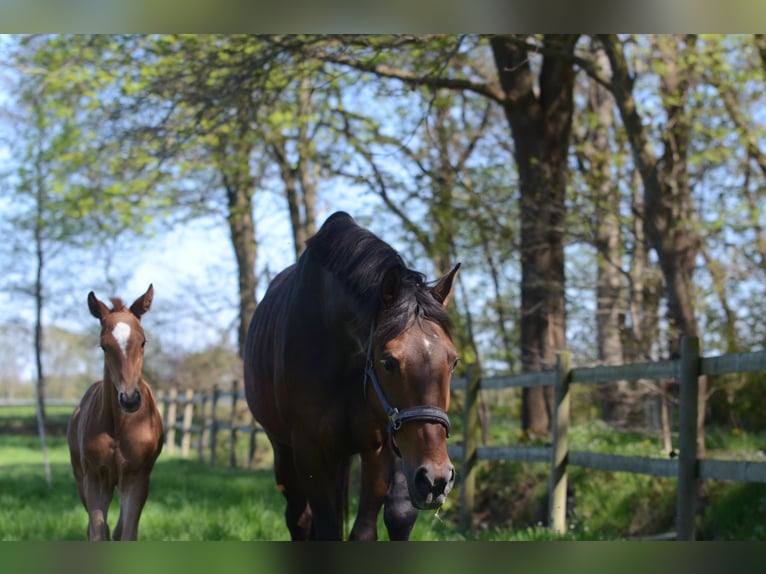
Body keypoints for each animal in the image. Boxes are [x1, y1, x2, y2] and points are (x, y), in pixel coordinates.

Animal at [67, 284, 164, 541]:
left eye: (143, 342)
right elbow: (98, 532)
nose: (129, 399)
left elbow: (127, 532)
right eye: (104, 346)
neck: (118, 425)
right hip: (82, 477)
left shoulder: (137, 476)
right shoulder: (94, 477)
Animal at [244, 211, 460, 540]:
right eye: (388, 362)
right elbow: (327, 529)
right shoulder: (310, 452)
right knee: (298, 518)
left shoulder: (378, 449)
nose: (436, 478)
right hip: (284, 452)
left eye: (453, 361)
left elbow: (366, 530)